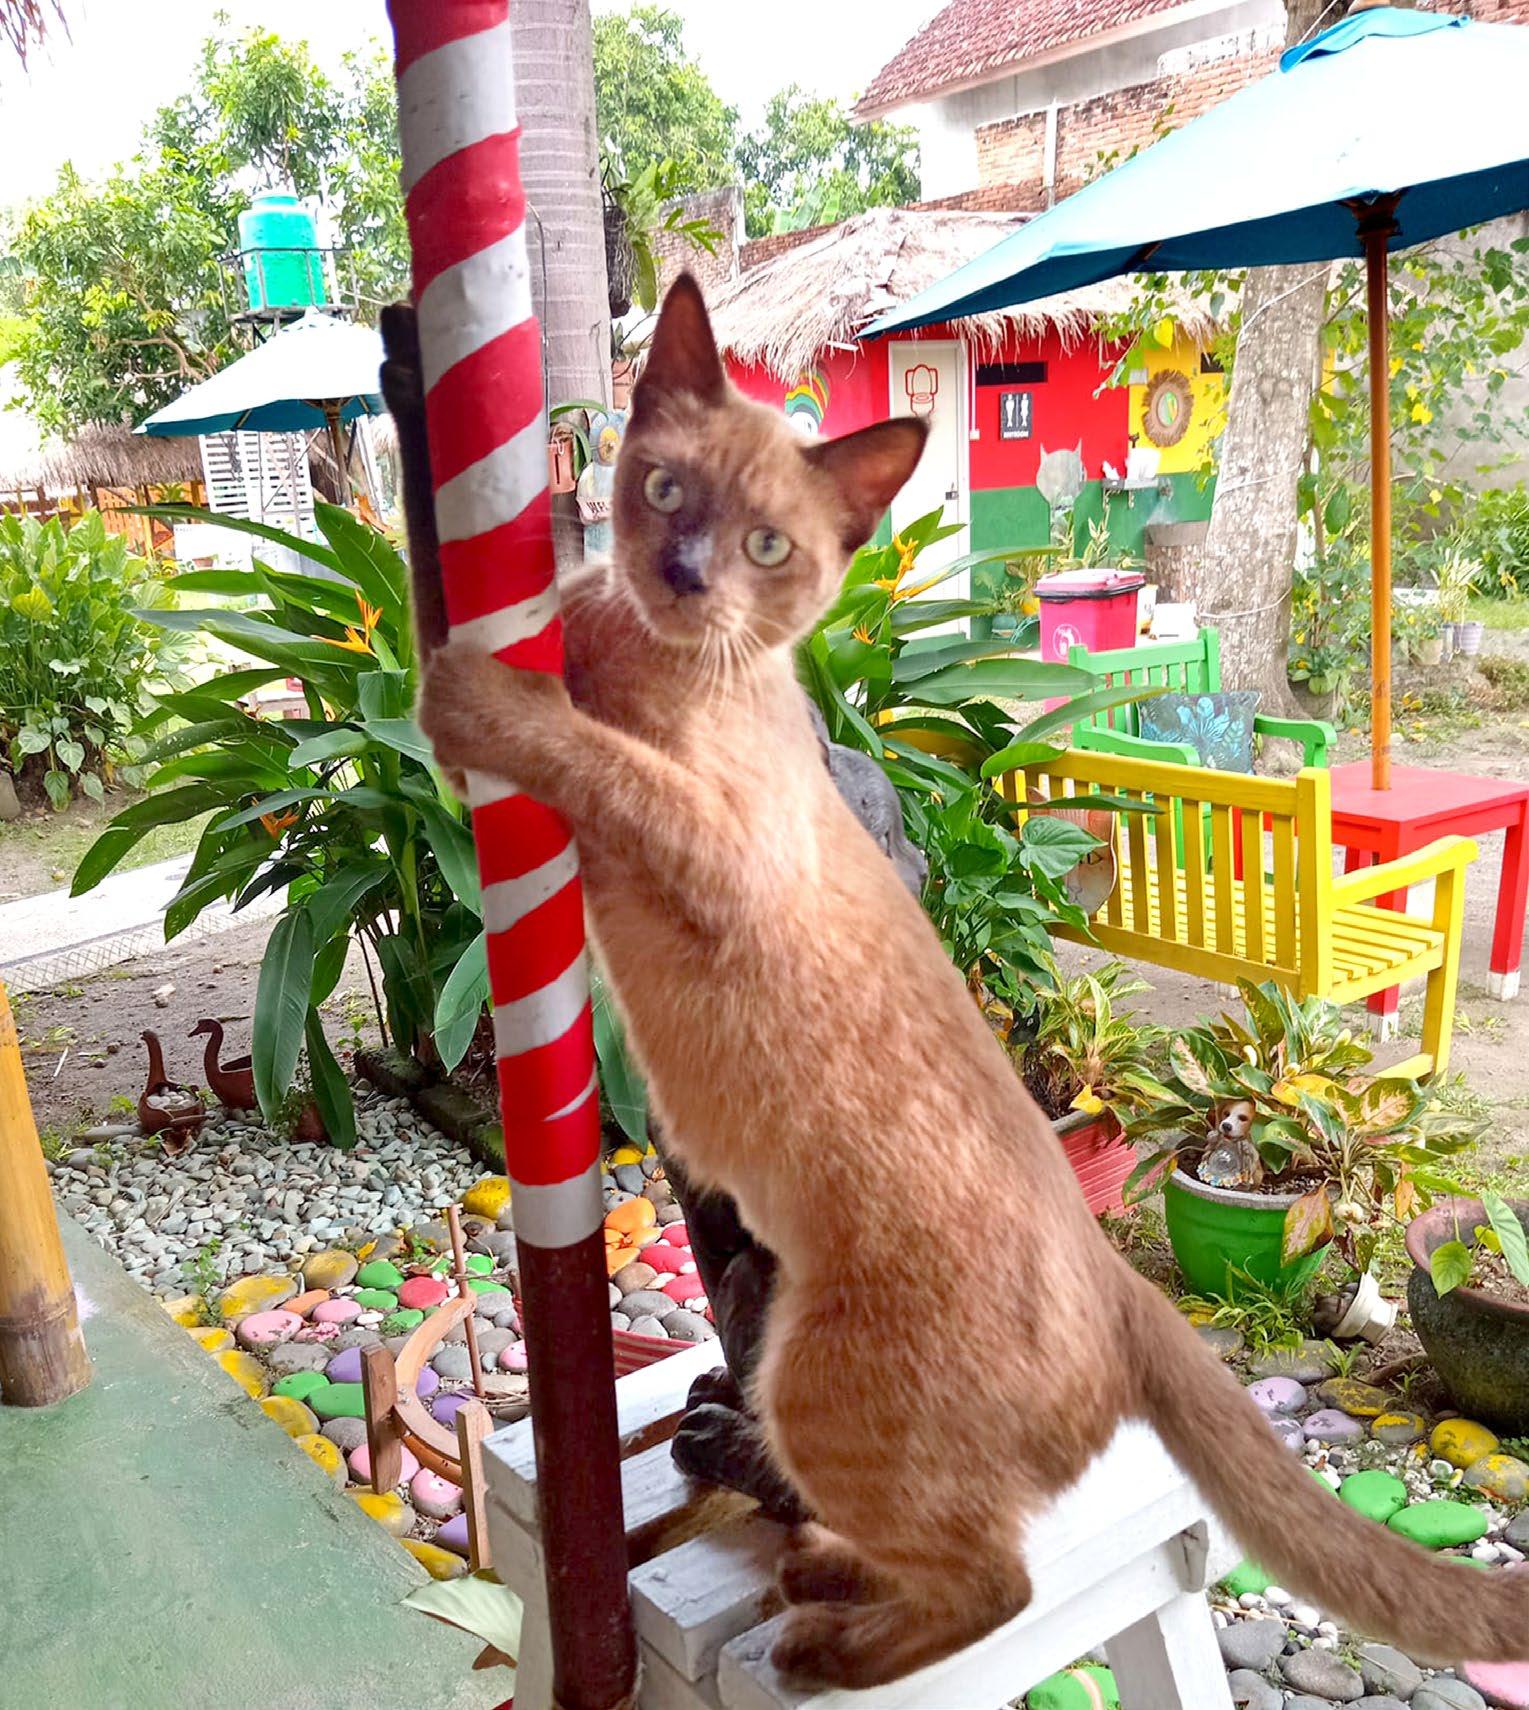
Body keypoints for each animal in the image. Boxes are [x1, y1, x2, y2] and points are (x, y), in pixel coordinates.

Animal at [415, 274, 1529, 1690]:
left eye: (766, 546)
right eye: (662, 491)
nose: (681, 573)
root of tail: (1127, 1290)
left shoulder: (704, 839)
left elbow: (587, 754)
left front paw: (476, 685)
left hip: (809, 1381)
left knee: (996, 1583)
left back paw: (817, 1646)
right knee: (949, 1553)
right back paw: (823, 1581)